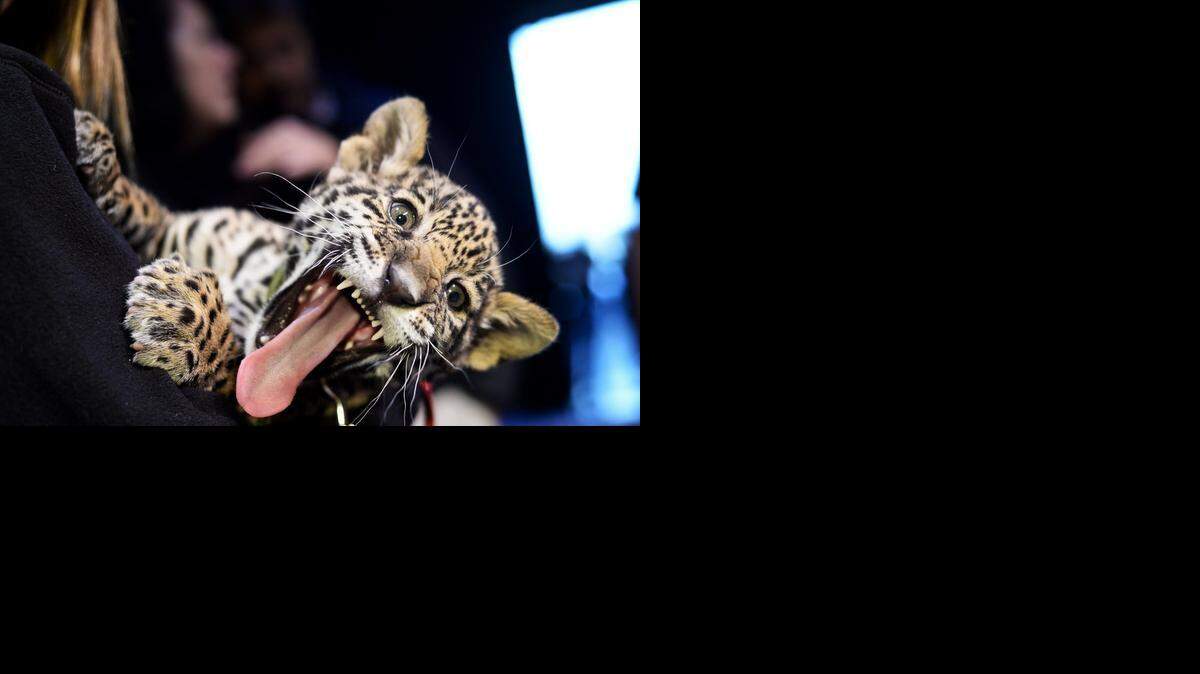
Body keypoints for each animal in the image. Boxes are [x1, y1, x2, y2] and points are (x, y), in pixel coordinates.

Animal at [73, 97, 558, 424]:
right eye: (402, 214)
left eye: (456, 297)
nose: (401, 285)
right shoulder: (181, 230)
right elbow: (149, 211)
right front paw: (97, 150)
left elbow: (238, 373)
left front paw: (183, 321)